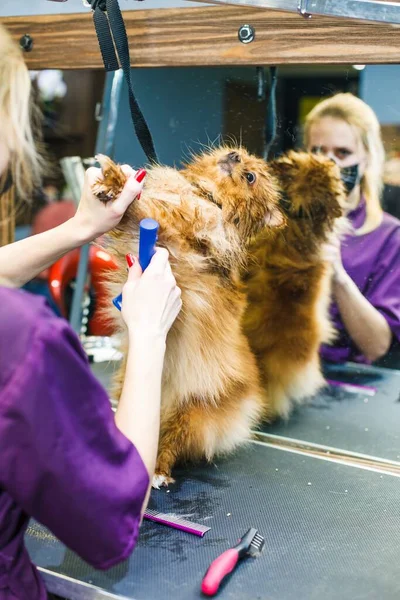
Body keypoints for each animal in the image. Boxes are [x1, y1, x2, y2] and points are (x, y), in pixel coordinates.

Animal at [92, 146, 286, 488]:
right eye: (239, 153)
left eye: (250, 177)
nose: (235, 156)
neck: (205, 195)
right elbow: (136, 211)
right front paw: (113, 185)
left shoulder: (177, 235)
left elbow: (146, 209)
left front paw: (117, 181)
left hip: (193, 415)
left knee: (171, 444)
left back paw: (158, 471)